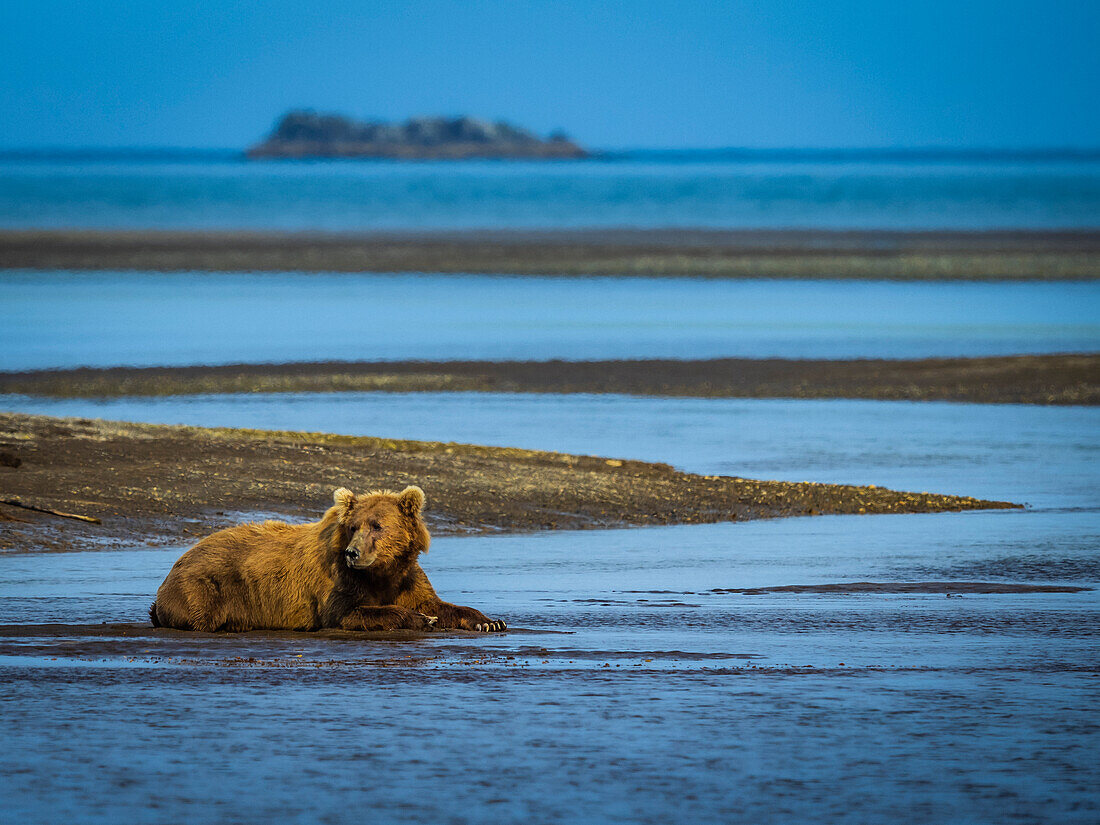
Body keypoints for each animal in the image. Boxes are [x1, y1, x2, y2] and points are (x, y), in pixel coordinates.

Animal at [148, 488, 503, 638]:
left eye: (377, 525)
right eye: (354, 526)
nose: (352, 553)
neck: (381, 572)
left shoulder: (406, 578)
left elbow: (436, 602)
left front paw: (488, 621)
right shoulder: (337, 582)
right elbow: (349, 612)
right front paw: (421, 619)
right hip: (206, 584)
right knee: (202, 613)